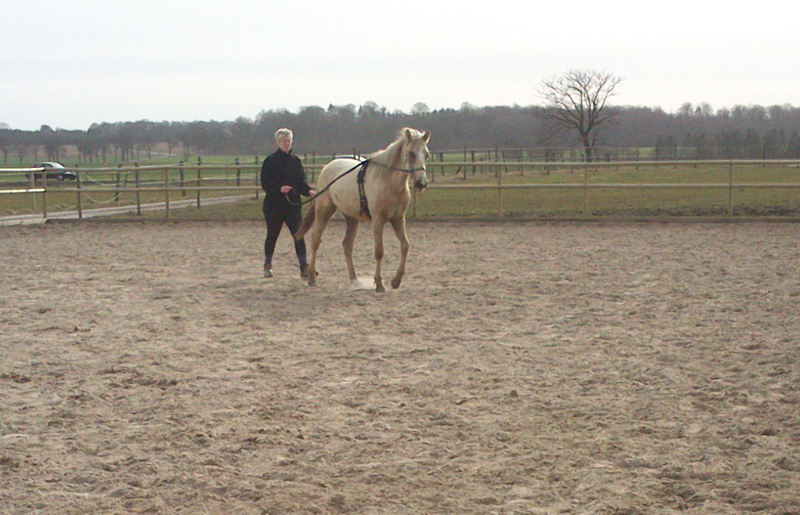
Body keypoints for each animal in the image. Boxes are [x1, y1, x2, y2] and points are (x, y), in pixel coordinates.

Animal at [294, 128, 431, 292]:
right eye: (411, 153)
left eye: (426, 154)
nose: (421, 183)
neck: (389, 183)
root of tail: (329, 166)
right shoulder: (378, 220)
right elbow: (379, 251)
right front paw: (379, 284)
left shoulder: (398, 218)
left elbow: (405, 246)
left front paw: (396, 281)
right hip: (324, 211)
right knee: (316, 240)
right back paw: (312, 278)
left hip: (351, 218)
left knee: (347, 245)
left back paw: (354, 279)